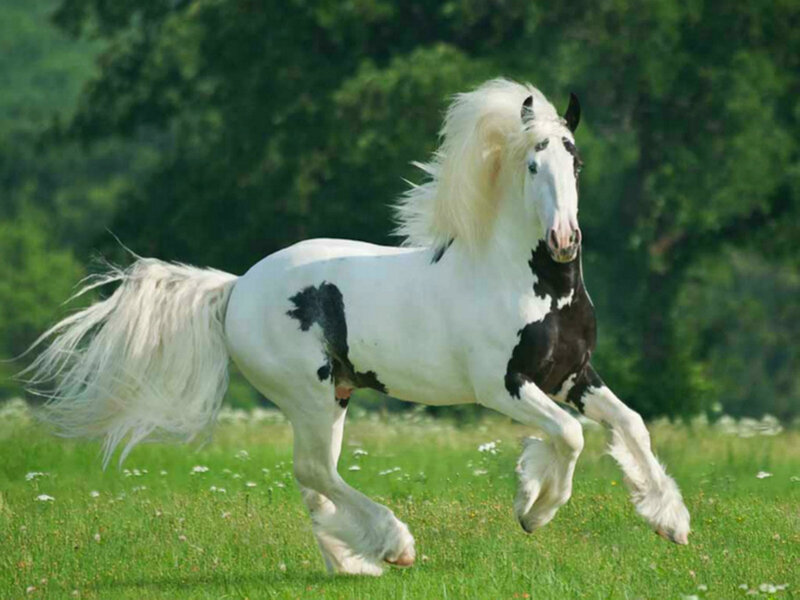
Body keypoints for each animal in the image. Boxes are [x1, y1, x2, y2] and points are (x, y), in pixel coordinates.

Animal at [25, 79, 690, 576]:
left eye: (575, 157)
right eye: (532, 164)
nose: (563, 240)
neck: (535, 288)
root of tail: (237, 286)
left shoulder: (573, 376)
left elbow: (630, 424)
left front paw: (671, 521)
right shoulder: (505, 388)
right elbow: (571, 438)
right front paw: (534, 507)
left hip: (333, 398)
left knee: (314, 479)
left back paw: (350, 561)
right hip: (312, 396)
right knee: (315, 472)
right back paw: (394, 546)